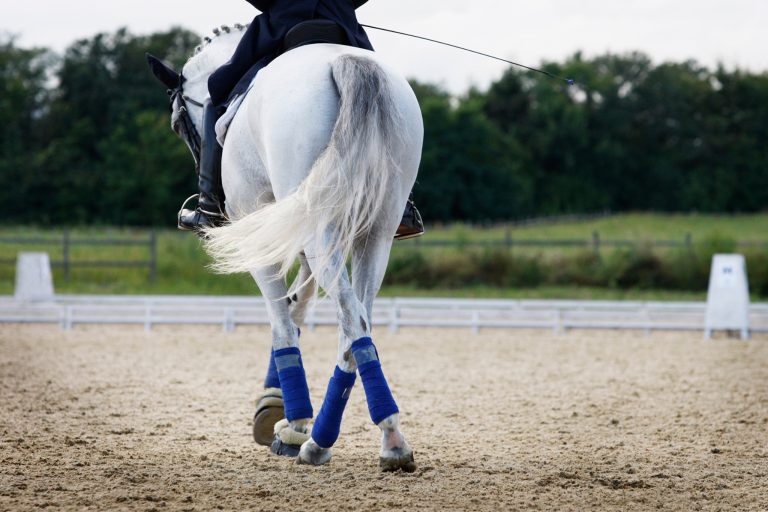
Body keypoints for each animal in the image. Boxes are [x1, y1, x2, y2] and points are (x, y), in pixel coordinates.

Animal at [147, 25, 424, 471]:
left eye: (177, 124)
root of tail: (346, 63)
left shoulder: (265, 234)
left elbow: (281, 321)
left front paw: (287, 419)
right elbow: (298, 305)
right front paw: (280, 410)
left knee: (351, 318)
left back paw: (363, 440)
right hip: (375, 234)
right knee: (357, 323)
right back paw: (344, 441)